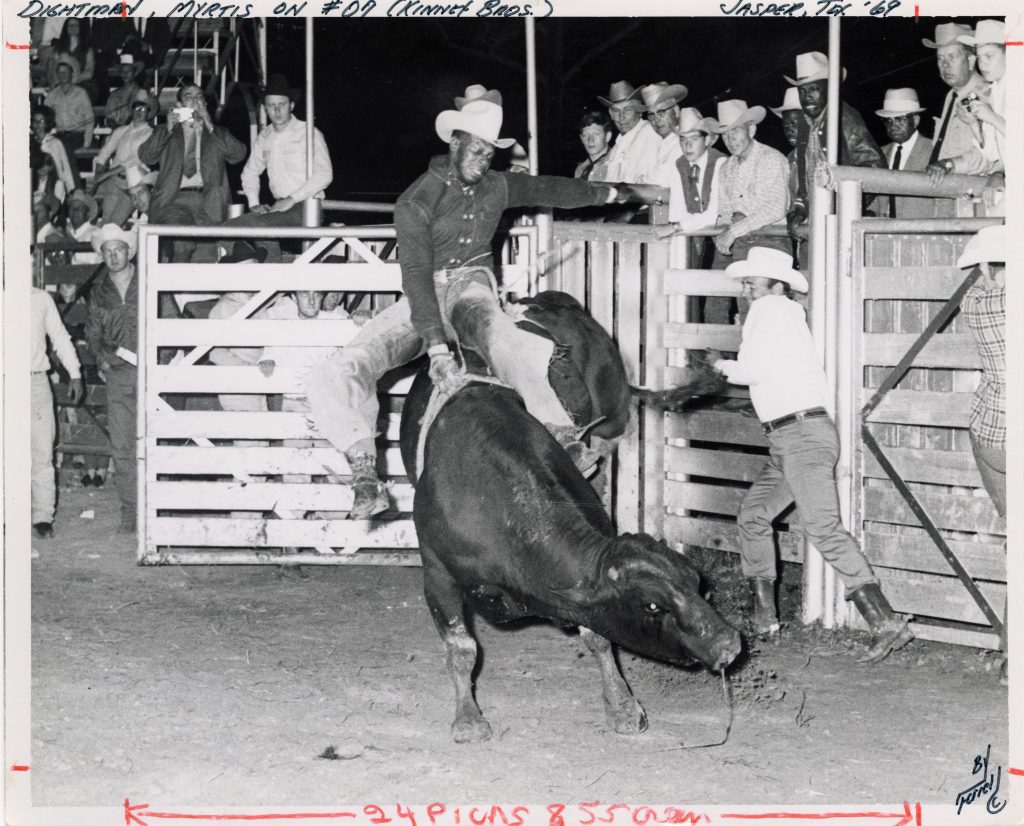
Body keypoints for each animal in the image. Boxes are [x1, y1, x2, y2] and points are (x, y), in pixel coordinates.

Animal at [395, 290, 741, 741]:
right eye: (652, 606)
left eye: (696, 581)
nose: (729, 645)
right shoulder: (437, 574)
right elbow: (462, 648)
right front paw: (468, 718)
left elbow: (598, 637)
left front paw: (622, 706)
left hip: (611, 424)